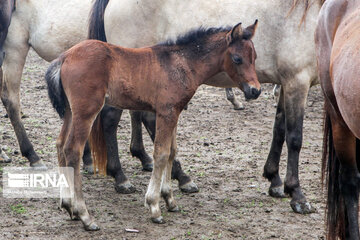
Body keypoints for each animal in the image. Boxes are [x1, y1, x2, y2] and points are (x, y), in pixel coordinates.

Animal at [45, 20, 260, 231]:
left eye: (254, 57)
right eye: (237, 59)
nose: (255, 90)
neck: (181, 64)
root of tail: (64, 58)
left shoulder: (175, 112)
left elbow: (172, 151)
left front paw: (170, 200)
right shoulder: (166, 112)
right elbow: (161, 153)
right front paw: (154, 206)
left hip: (70, 111)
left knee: (60, 145)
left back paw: (68, 205)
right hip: (86, 111)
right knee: (73, 150)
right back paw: (85, 216)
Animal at [89, 0, 324, 214]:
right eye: (237, 59)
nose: (255, 91)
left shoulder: (285, 84)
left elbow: (279, 129)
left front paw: (274, 180)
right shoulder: (297, 82)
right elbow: (294, 138)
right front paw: (297, 195)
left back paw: (178, 177)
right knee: (111, 118)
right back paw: (121, 177)